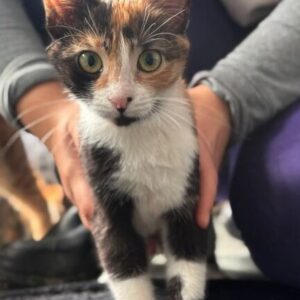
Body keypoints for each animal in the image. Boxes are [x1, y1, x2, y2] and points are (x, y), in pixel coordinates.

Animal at [44, 1, 212, 298]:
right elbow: (119, 257)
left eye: (150, 60)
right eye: (89, 61)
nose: (120, 100)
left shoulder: (188, 190)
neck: (137, 136)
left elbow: (188, 258)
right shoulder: (102, 201)